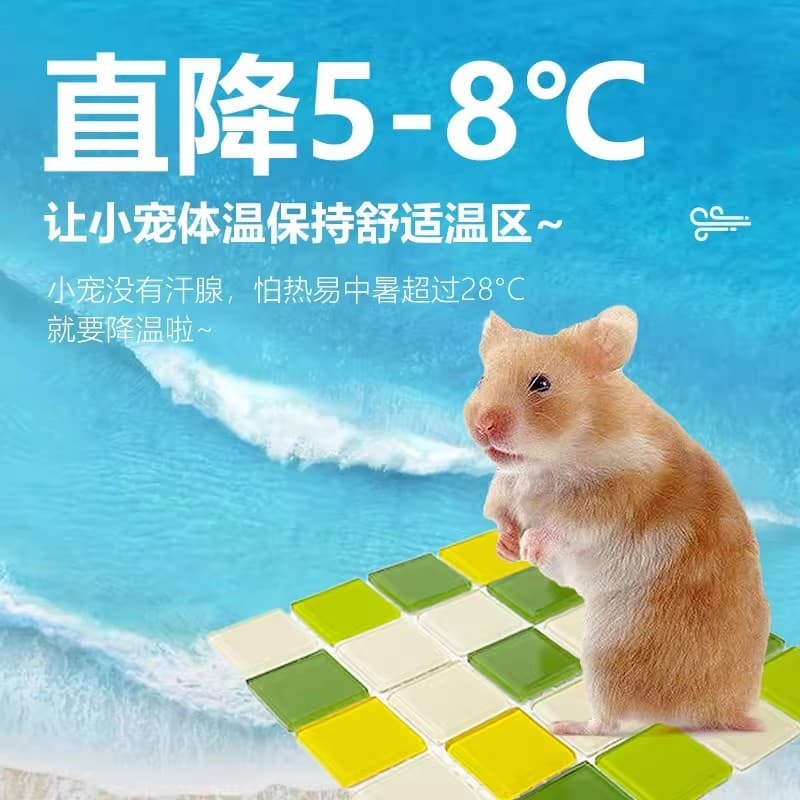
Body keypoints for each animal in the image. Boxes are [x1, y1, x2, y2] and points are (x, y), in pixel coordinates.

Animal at [464, 306, 770, 735]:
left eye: (541, 383)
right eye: (481, 378)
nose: (482, 426)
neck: (548, 461)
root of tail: (717, 715)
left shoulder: (612, 499)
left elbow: (563, 525)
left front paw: (530, 548)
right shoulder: (507, 488)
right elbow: (502, 515)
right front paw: (507, 548)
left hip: (606, 652)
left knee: (608, 722)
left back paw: (563, 726)